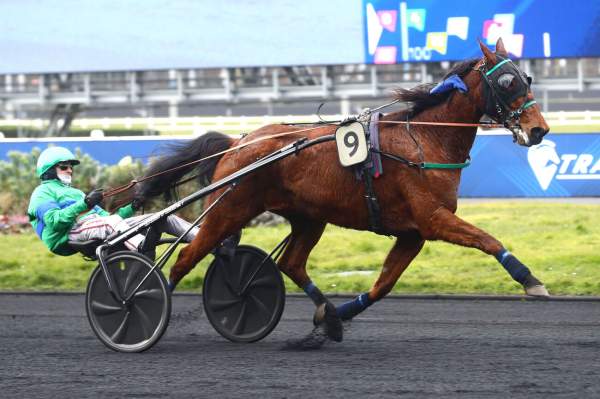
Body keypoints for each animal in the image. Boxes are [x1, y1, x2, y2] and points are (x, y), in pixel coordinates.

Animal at [135, 39, 548, 344]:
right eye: (507, 82)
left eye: (527, 77)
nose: (539, 129)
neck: (424, 140)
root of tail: (240, 141)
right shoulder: (432, 219)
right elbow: (488, 239)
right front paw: (531, 281)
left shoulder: (412, 233)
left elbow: (383, 285)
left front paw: (335, 317)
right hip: (228, 210)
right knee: (183, 259)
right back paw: (142, 305)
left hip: (307, 217)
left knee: (290, 263)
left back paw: (325, 314)